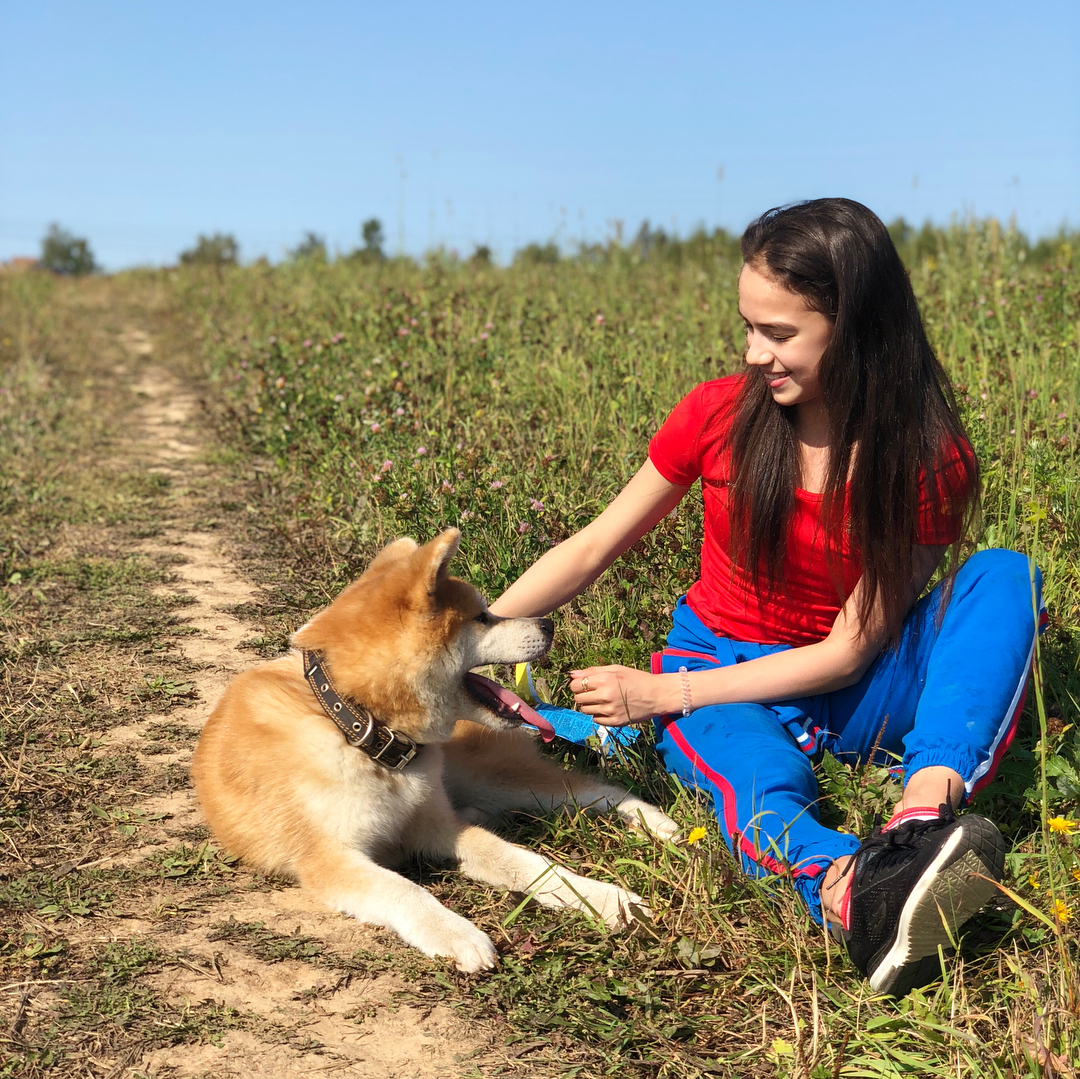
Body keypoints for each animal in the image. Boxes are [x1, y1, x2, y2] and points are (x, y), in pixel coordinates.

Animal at [190, 529, 669, 972]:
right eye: (482, 618)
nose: (548, 624)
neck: (359, 725)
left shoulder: (438, 826)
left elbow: (527, 862)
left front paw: (605, 898)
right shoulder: (329, 857)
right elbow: (405, 889)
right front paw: (458, 933)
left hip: (493, 779)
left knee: (593, 791)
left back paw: (656, 824)